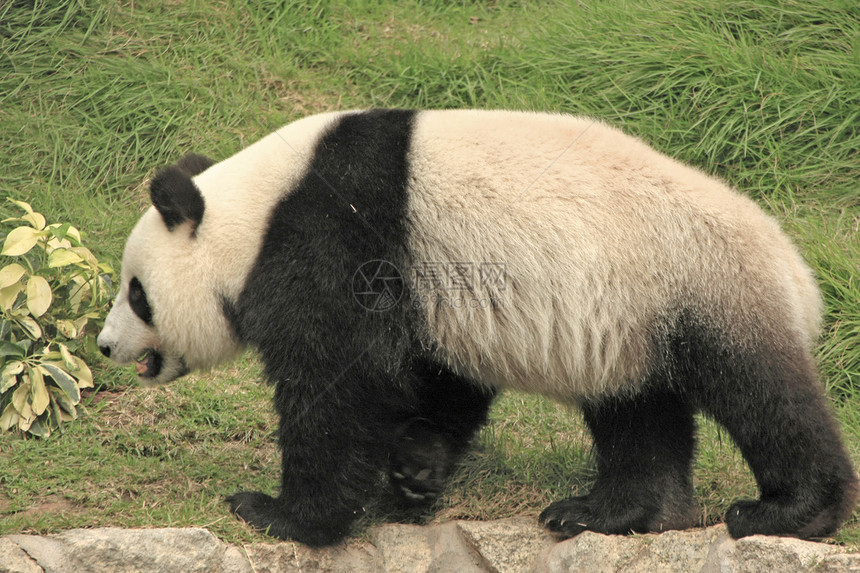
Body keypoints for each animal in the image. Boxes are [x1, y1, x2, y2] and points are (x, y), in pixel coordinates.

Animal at [95, 108, 860, 544]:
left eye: (136, 292)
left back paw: (790, 512)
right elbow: (434, 377)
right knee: (637, 409)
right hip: (630, 320)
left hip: (697, 282)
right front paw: (413, 473)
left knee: (760, 392)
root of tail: (797, 272)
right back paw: (609, 511)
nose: (104, 345)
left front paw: (281, 512)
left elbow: (340, 381)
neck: (253, 212)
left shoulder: (333, 237)